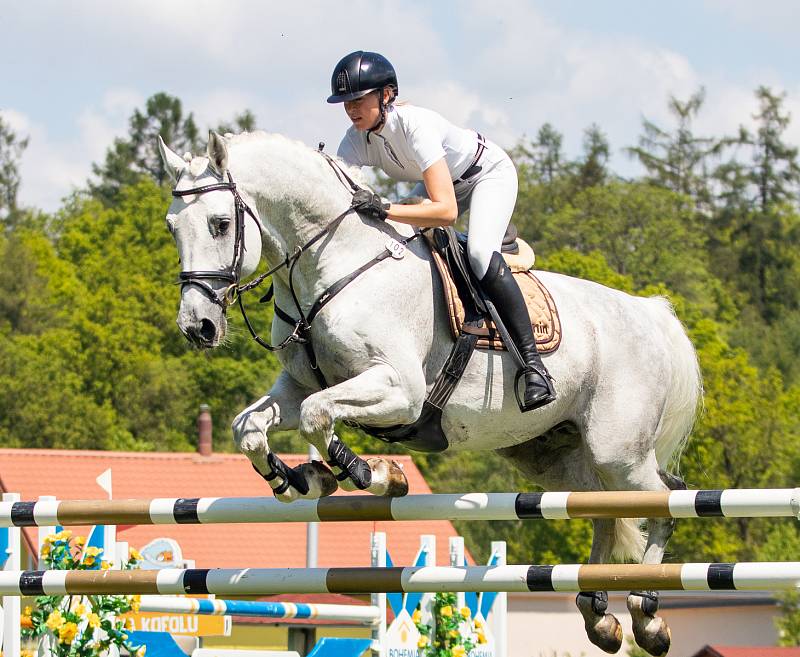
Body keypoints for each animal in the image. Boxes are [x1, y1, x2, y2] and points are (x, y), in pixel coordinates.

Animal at [159, 131, 704, 652]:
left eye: (219, 224)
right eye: (171, 228)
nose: (197, 327)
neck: (334, 262)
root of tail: (650, 312)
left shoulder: (401, 390)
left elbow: (318, 416)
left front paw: (373, 474)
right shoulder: (296, 386)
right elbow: (250, 427)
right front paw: (296, 480)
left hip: (618, 450)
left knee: (666, 499)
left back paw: (646, 613)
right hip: (555, 455)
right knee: (605, 510)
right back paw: (599, 615)